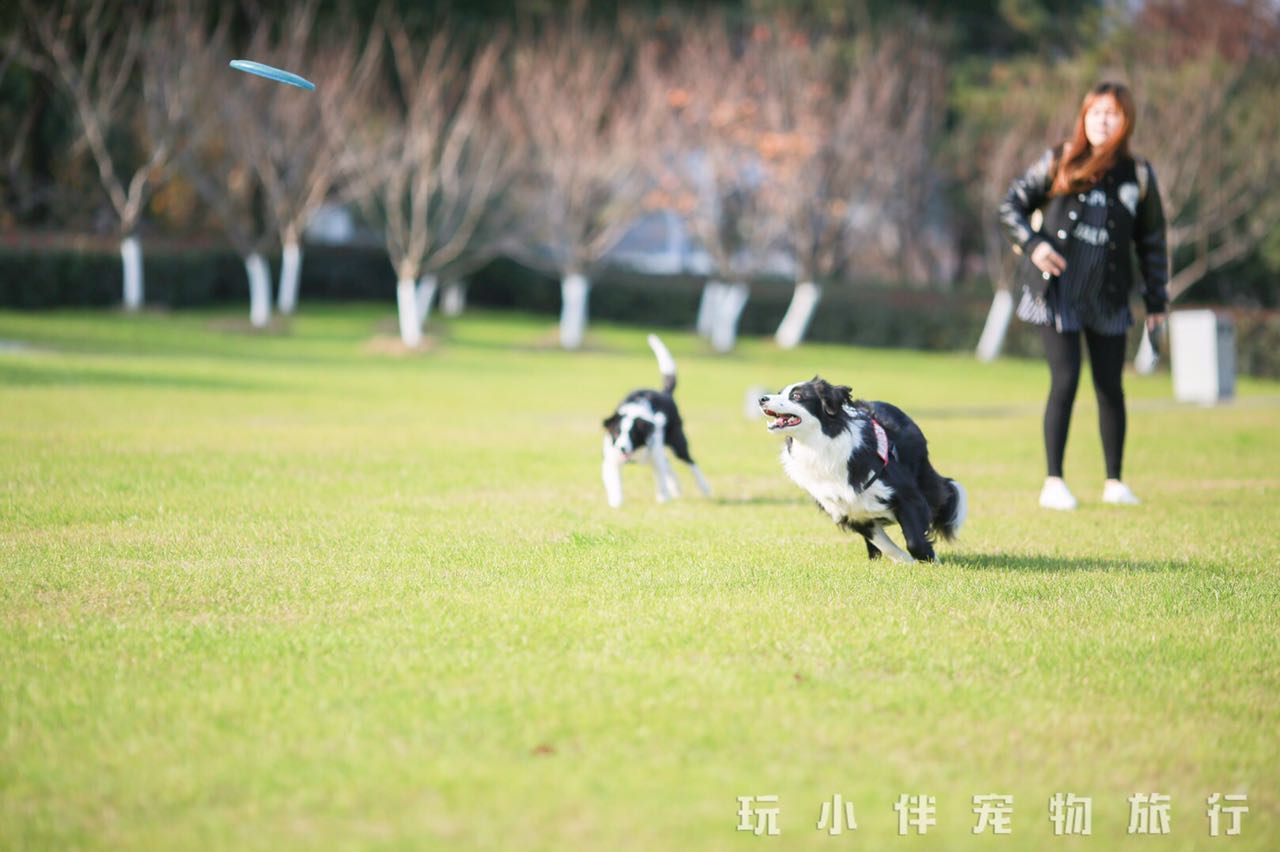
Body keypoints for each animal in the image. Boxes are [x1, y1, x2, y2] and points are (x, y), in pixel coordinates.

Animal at [599, 332, 711, 504]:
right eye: (617, 433)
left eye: (633, 434)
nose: (622, 448)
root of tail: (664, 393)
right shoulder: (611, 458)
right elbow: (615, 483)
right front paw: (616, 502)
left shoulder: (655, 454)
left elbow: (661, 481)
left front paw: (663, 499)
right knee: (669, 466)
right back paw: (676, 489)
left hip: (677, 442)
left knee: (690, 463)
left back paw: (703, 487)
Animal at [752, 376, 962, 560]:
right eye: (779, 393)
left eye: (796, 396)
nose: (762, 399)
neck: (819, 445)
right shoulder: (849, 510)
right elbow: (883, 543)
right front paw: (904, 561)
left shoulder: (905, 493)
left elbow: (914, 540)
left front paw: (930, 561)